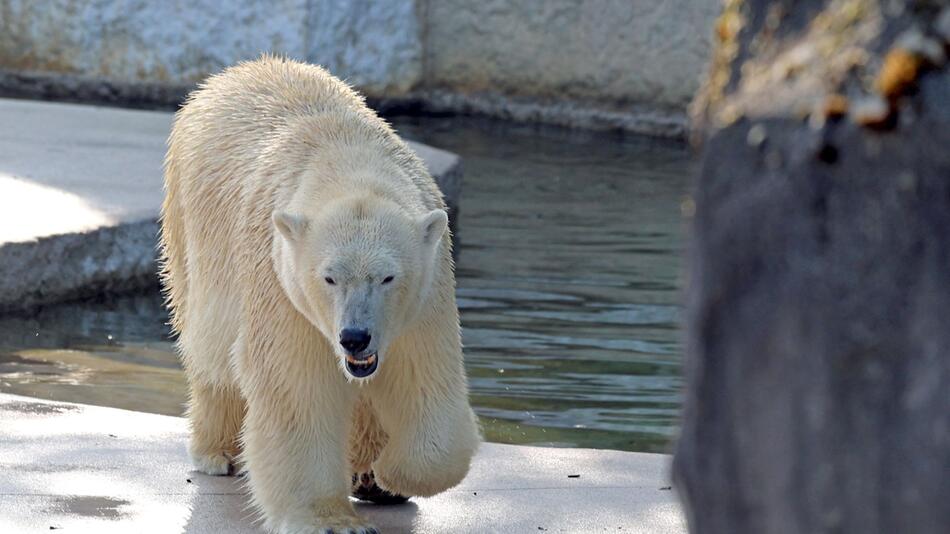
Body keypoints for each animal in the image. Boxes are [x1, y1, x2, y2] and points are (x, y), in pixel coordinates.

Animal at [161, 56, 484, 532]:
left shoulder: (427, 293)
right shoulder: (281, 282)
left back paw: (369, 476)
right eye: (329, 278)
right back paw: (219, 451)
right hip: (190, 227)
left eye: (388, 278)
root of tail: (237, 71)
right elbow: (297, 386)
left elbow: (424, 379)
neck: (347, 156)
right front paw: (333, 519)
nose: (355, 337)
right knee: (211, 349)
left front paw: (390, 474)